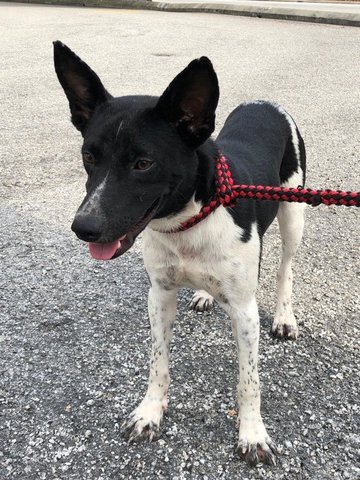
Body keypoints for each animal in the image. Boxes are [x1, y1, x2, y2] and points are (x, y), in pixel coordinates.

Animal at [53, 41, 306, 464]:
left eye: (143, 163)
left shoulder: (244, 310)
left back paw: (285, 316)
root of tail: (265, 102)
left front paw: (253, 433)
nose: (83, 227)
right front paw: (150, 412)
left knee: (286, 267)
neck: (190, 221)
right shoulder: (160, 294)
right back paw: (204, 293)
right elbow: (158, 364)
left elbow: (249, 381)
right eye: (89, 156)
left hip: (294, 213)